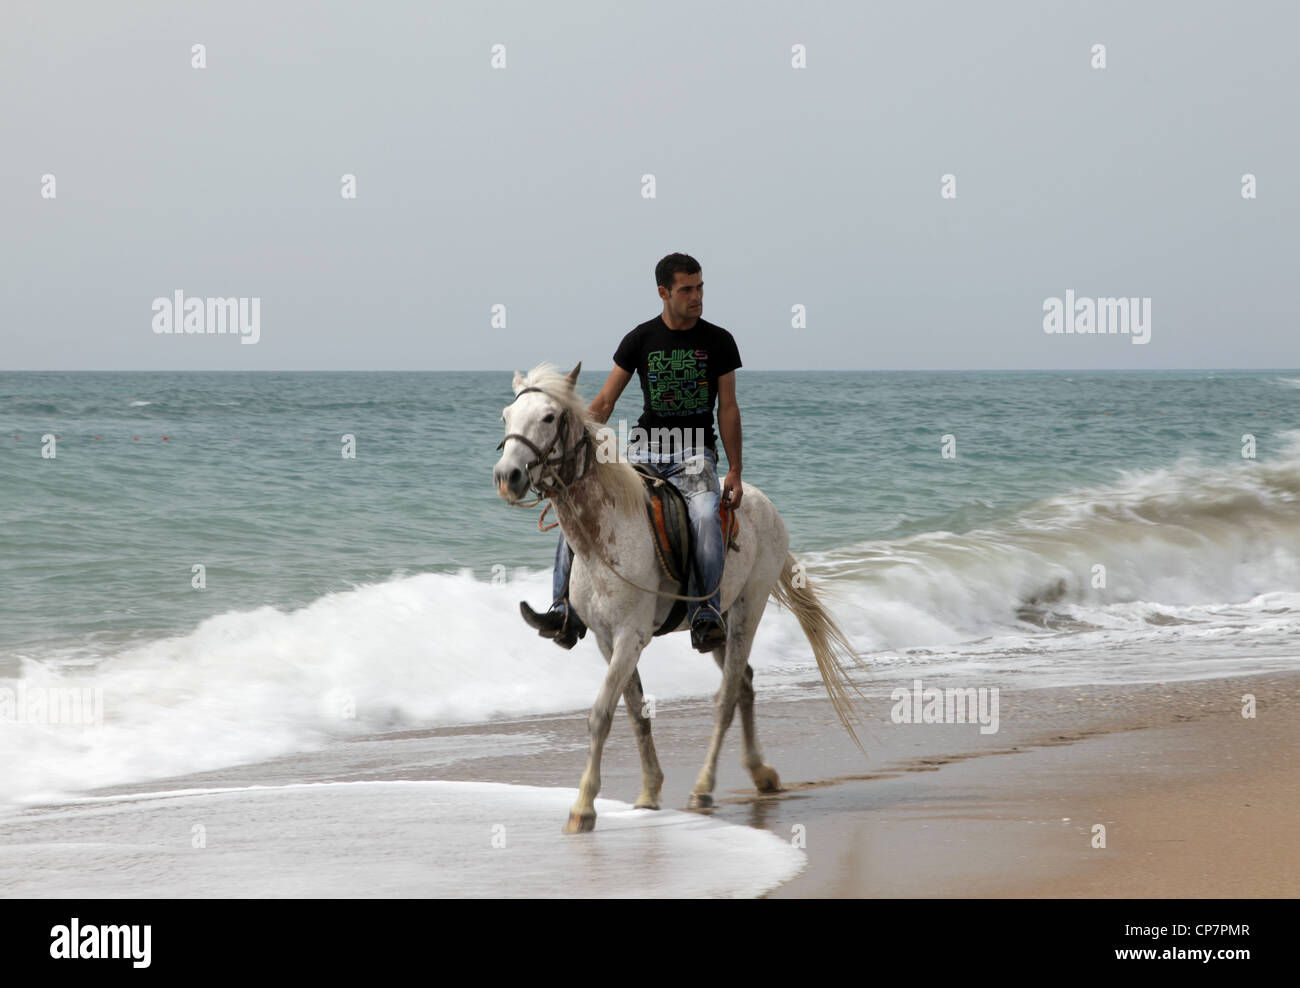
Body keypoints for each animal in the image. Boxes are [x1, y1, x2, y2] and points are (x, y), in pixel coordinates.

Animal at [496, 358, 873, 832]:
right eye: (506, 417)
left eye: (548, 417)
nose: (507, 477)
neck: (606, 534)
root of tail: (764, 504)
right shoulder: (606, 640)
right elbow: (635, 712)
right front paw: (648, 791)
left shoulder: (630, 637)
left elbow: (601, 714)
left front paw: (583, 807)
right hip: (719, 624)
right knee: (744, 685)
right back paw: (761, 773)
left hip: (747, 612)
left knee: (727, 698)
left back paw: (704, 787)